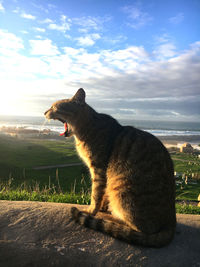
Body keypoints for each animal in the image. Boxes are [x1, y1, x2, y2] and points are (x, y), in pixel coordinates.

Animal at [44, 89, 176, 248]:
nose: (44, 112)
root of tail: (171, 221)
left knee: (137, 229)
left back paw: (113, 220)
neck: (86, 127)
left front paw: (91, 211)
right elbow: (102, 195)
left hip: (122, 189)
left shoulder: (99, 169)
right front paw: (101, 207)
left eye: (54, 107)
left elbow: (96, 194)